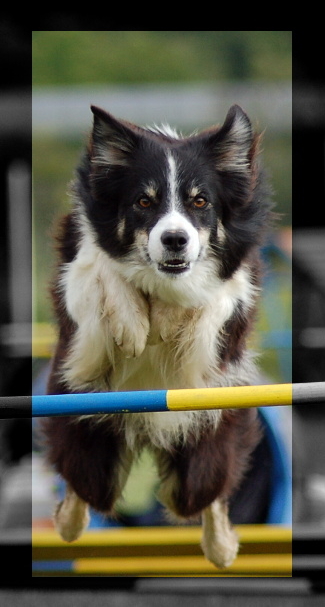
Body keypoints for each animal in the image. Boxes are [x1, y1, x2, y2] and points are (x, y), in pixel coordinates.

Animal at [43, 104, 270, 568]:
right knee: (82, 488)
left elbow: (209, 299)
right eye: (143, 202)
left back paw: (222, 549)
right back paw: (67, 524)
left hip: (205, 441)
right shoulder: (78, 259)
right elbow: (103, 268)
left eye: (200, 201)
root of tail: (145, 426)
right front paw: (134, 326)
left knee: (206, 496)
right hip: (89, 433)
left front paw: (168, 316)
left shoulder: (237, 282)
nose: (175, 239)